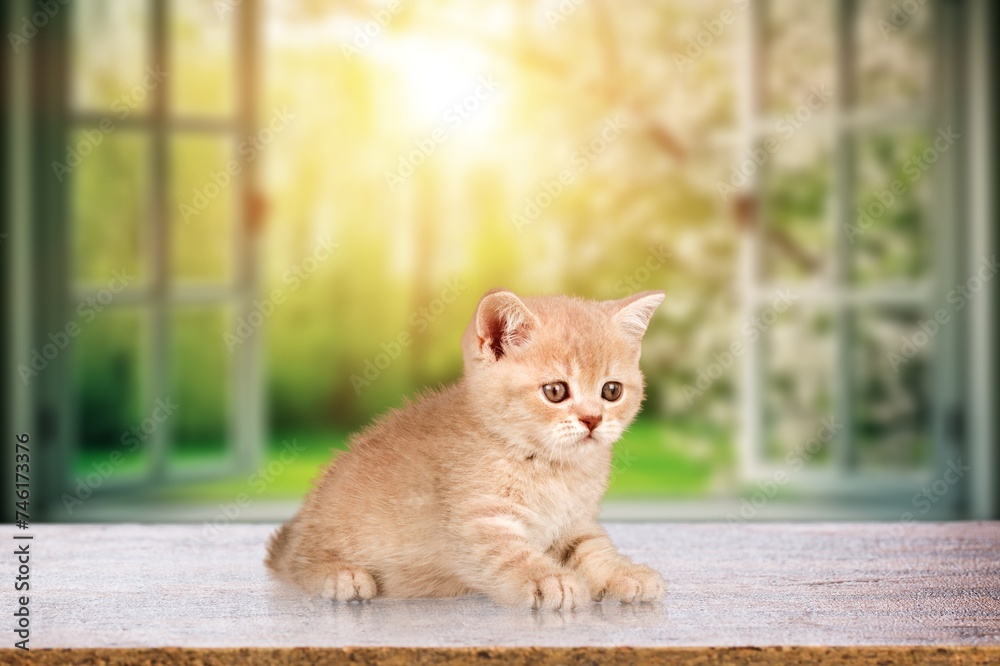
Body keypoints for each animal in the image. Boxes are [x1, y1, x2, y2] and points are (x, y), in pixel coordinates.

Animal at [270, 286, 668, 608]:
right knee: (298, 564)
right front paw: (550, 580)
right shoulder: (478, 522)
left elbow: (593, 549)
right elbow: (512, 556)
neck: (550, 467)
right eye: (555, 391)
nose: (592, 420)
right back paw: (343, 576)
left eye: (611, 391)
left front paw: (623, 574)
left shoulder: (575, 522)